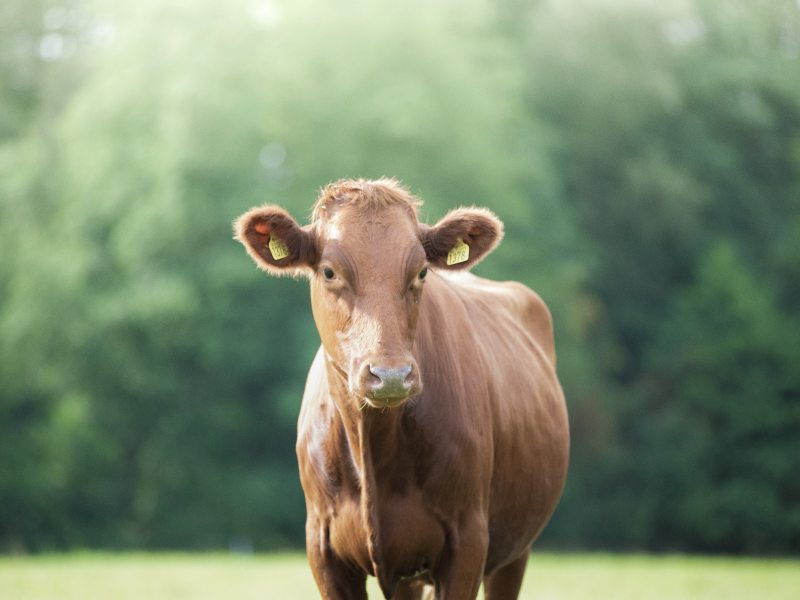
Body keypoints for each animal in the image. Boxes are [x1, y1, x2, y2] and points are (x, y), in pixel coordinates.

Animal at [234, 179, 572, 600]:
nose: (391, 374)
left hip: (515, 549)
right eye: (329, 271)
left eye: (422, 271)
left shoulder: (468, 540)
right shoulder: (323, 548)